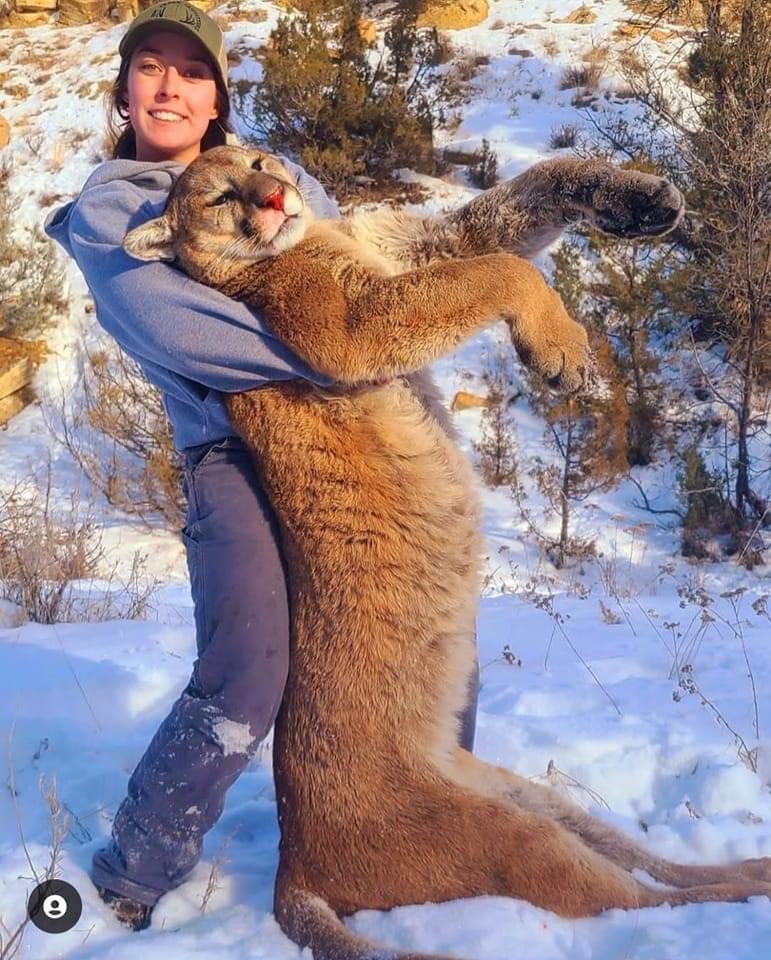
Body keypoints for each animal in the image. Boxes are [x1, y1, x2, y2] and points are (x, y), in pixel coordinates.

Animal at [124, 145, 770, 960]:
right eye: (217, 196)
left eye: (261, 159)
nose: (275, 196)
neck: (309, 243)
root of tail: (291, 861)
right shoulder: (350, 322)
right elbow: (499, 268)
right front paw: (559, 349)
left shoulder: (413, 249)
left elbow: (513, 210)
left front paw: (640, 199)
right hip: (508, 837)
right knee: (632, 902)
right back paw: (745, 893)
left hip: (528, 796)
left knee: (646, 866)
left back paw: (751, 866)